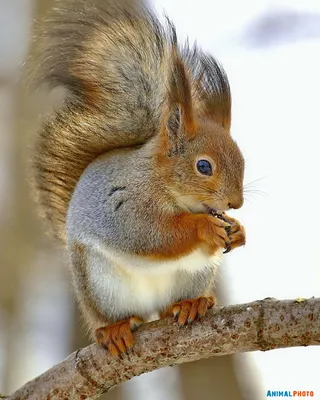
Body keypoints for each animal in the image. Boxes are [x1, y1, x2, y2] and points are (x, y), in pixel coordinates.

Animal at [30, 0, 245, 356]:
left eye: (243, 160)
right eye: (204, 167)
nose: (236, 203)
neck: (166, 185)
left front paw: (239, 231)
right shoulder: (126, 204)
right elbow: (154, 235)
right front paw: (203, 227)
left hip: (194, 276)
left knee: (176, 301)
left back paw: (191, 304)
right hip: (100, 285)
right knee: (116, 315)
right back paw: (115, 329)